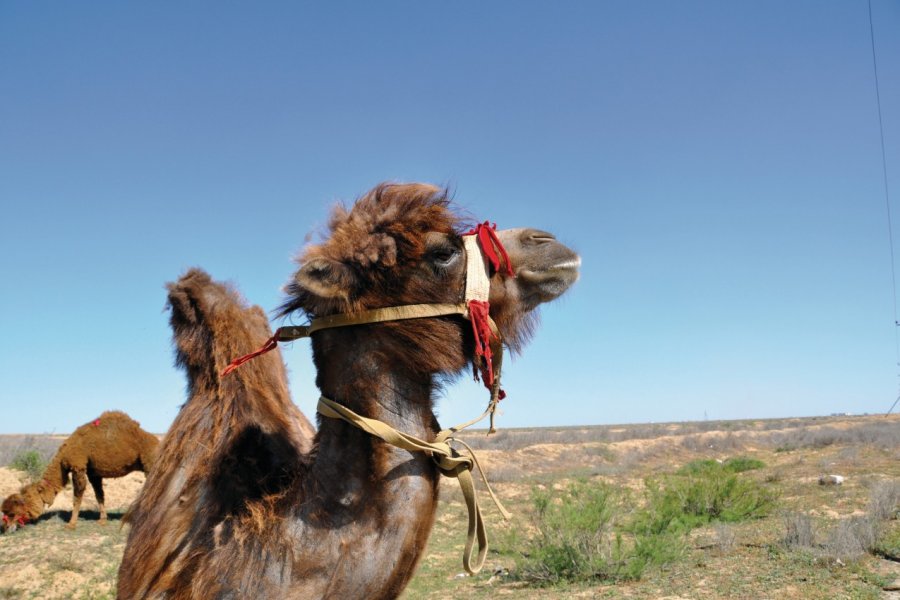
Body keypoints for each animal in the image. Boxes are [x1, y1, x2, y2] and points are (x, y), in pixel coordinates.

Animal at [1, 410, 158, 532]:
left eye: (12, 513)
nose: (6, 527)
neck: (63, 457)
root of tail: (157, 442)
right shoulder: (93, 472)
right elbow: (99, 495)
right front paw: (102, 520)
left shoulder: (78, 466)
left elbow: (77, 497)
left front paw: (71, 524)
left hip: (149, 462)